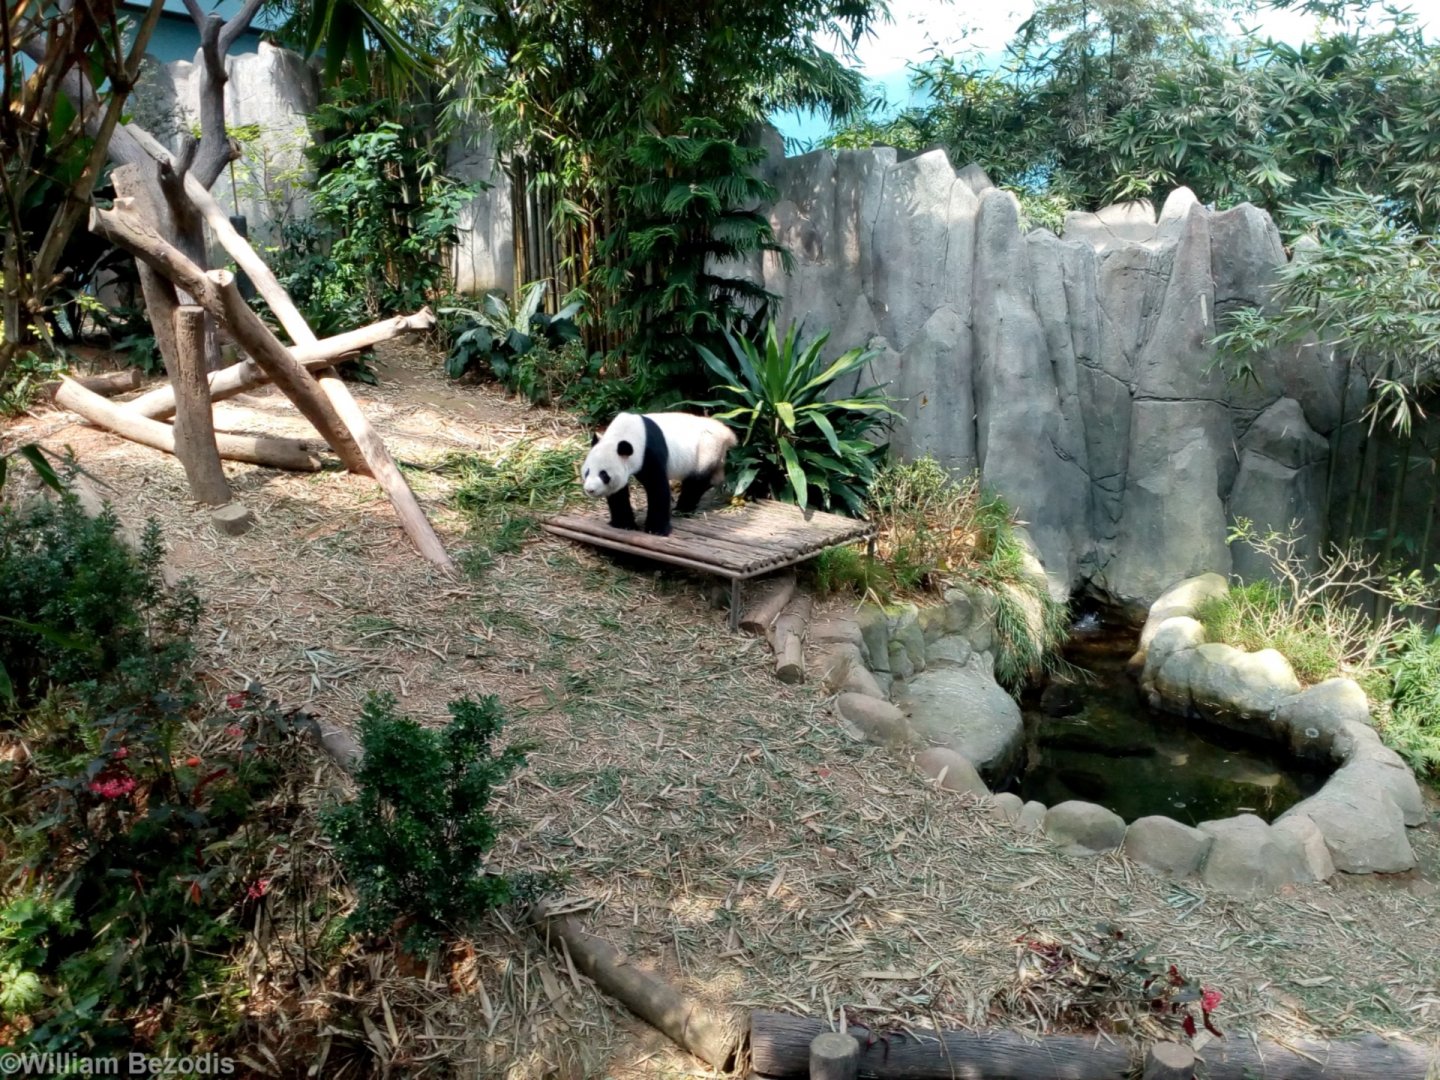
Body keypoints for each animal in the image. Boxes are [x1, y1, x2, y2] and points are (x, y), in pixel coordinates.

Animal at [581, 411, 737, 536]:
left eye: (603, 475)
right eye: (587, 472)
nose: (590, 490)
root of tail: (726, 433)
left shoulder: (649, 452)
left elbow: (657, 487)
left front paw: (656, 529)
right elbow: (618, 493)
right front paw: (623, 524)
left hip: (705, 450)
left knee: (696, 482)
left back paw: (683, 509)